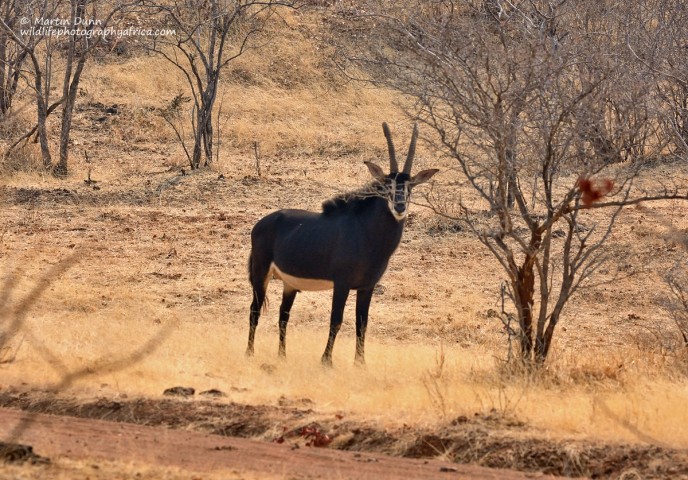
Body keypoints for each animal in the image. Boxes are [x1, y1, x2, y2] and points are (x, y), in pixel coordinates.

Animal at [247, 123, 438, 368]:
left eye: (411, 186)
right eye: (387, 185)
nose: (399, 206)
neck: (367, 234)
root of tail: (261, 223)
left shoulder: (367, 287)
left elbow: (362, 324)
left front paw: (361, 363)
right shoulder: (342, 284)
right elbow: (336, 320)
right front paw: (326, 361)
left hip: (289, 284)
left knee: (283, 315)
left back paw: (282, 356)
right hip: (260, 274)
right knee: (255, 310)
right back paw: (249, 353)